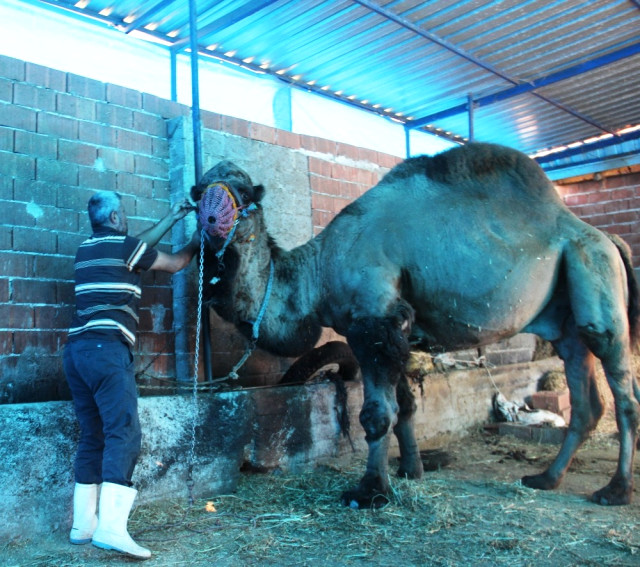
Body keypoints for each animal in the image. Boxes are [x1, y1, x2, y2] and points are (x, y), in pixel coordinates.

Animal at [191, 143, 640, 510]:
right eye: (199, 191)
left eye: (243, 192)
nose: (211, 214)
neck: (318, 269)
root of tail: (604, 235)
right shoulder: (391, 326)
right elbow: (404, 405)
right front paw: (411, 469)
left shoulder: (375, 317)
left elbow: (376, 413)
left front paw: (370, 492)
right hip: (568, 318)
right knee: (585, 399)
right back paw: (545, 478)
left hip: (595, 274)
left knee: (623, 392)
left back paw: (614, 490)